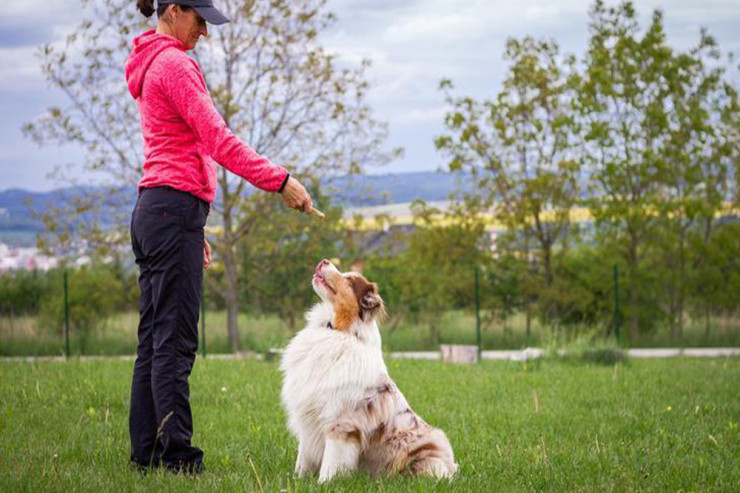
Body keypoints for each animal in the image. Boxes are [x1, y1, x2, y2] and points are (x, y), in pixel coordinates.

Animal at [280, 260, 456, 482]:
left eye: (349, 279)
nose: (323, 261)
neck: (339, 331)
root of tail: (453, 468)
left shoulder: (340, 423)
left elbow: (331, 462)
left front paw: (324, 483)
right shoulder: (308, 416)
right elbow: (303, 458)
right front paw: (297, 480)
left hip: (427, 455)